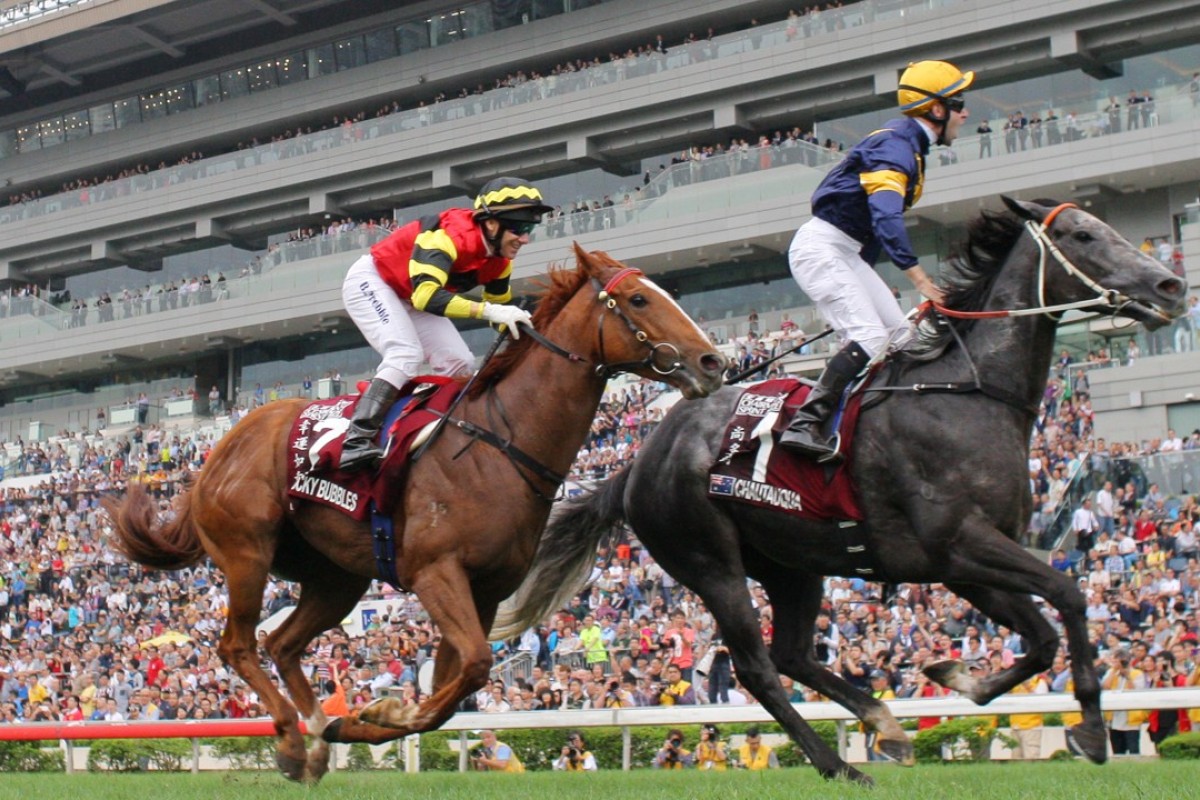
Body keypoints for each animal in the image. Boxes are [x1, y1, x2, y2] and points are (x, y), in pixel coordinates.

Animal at [108, 245, 720, 782]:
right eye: (639, 299)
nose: (714, 361)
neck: (500, 442)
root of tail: (221, 449)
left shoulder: (485, 589)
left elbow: (456, 684)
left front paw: (368, 718)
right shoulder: (436, 571)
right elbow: (471, 666)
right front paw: (381, 715)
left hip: (337, 579)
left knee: (282, 644)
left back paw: (317, 735)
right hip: (246, 553)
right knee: (239, 645)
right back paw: (290, 742)